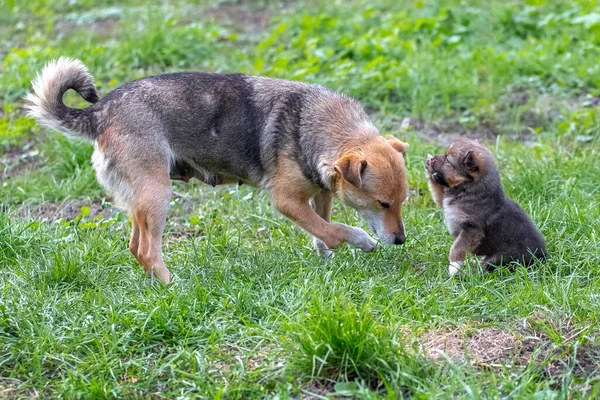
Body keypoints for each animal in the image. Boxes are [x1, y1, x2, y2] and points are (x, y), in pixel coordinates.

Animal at [24, 58, 408, 284]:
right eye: (383, 204)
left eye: (404, 201)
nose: (401, 241)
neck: (311, 123)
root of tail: (102, 111)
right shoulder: (286, 202)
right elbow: (335, 230)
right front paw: (362, 241)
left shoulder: (321, 192)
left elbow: (323, 227)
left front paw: (325, 253)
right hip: (158, 194)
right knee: (147, 250)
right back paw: (173, 287)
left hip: (141, 201)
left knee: (135, 246)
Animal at [424, 138, 548, 276]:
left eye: (448, 161)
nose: (433, 158)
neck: (467, 188)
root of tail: (542, 260)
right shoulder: (443, 201)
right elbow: (437, 191)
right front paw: (429, 169)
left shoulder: (471, 229)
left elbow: (457, 249)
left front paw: (453, 269)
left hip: (501, 259)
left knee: (490, 267)